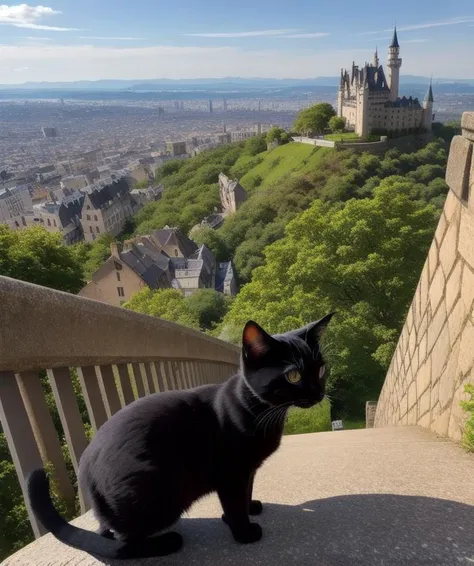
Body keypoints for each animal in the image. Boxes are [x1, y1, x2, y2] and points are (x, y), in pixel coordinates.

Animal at [27, 318, 334, 560]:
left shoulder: (247, 470)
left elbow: (245, 493)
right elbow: (234, 502)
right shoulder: (231, 473)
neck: (260, 410)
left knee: (108, 531)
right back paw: (166, 543)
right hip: (159, 496)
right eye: (293, 375)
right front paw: (243, 531)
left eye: (320, 370)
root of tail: (86, 470)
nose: (318, 393)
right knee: (125, 543)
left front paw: (249, 509)